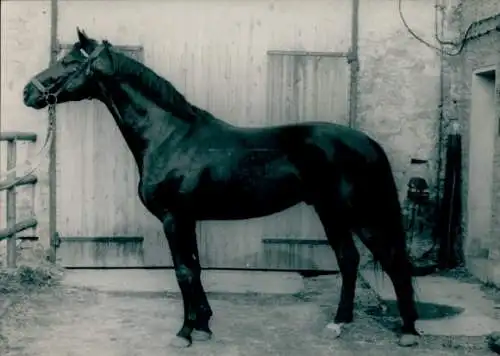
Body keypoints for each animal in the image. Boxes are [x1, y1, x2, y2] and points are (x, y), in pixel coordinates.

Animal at [24, 29, 422, 350]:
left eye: (68, 60)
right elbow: (196, 269)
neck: (169, 137)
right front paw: (203, 325)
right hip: (330, 212)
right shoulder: (187, 220)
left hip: (361, 215)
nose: (29, 91)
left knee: (393, 261)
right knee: (348, 259)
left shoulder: (174, 219)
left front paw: (185, 333)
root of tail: (368, 142)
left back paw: (408, 331)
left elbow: (184, 272)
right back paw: (339, 323)